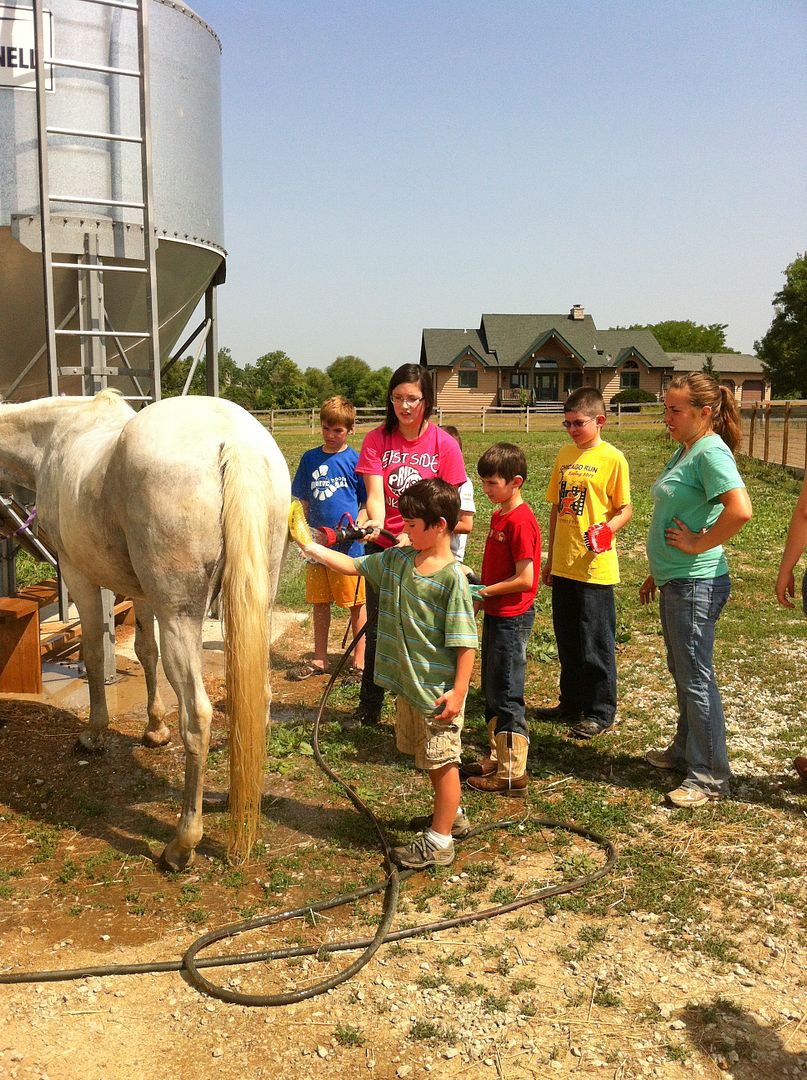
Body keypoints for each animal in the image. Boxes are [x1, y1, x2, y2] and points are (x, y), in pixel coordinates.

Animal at [0, 388, 289, 868]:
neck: (54, 437)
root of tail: (235, 440)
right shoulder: (141, 593)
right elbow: (144, 653)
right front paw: (154, 729)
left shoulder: (79, 575)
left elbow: (95, 653)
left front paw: (94, 734)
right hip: (256, 602)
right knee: (258, 701)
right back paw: (242, 803)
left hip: (180, 616)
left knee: (198, 716)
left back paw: (182, 843)